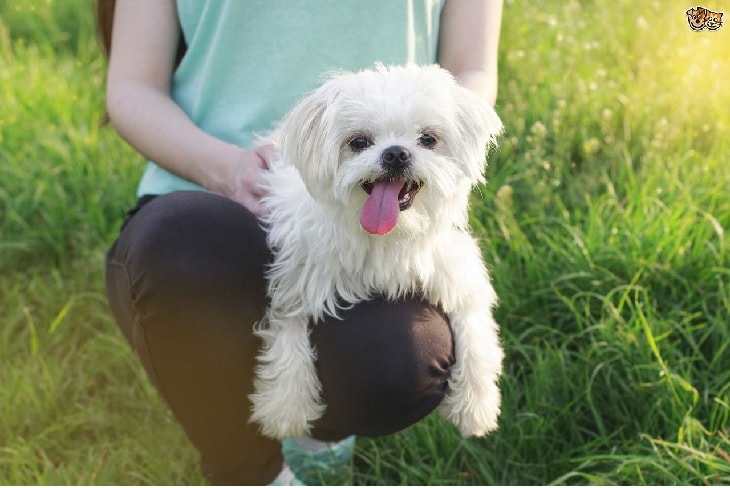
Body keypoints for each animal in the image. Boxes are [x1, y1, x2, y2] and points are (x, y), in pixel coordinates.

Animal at [247, 63, 504, 440]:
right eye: (358, 142)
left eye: (428, 139)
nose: (396, 153)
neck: (389, 235)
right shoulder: (300, 274)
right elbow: (287, 332)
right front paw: (286, 405)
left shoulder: (455, 270)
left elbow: (476, 333)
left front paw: (476, 405)